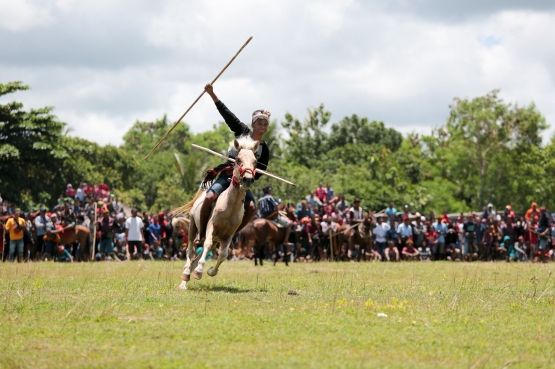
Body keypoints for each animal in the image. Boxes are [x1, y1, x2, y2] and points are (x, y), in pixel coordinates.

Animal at [178, 137, 260, 288]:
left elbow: (223, 254)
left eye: (255, 161)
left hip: (216, 239)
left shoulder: (228, 235)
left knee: (198, 255)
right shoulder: (211, 227)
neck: (229, 206)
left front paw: (210, 271)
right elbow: (206, 245)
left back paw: (187, 277)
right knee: (191, 249)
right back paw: (185, 276)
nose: (248, 179)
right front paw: (199, 271)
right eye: (238, 159)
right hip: (192, 226)